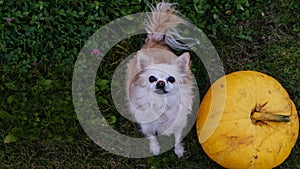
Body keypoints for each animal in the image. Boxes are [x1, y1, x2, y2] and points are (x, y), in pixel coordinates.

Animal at [125, 1, 193, 158]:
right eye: (151, 78)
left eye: (172, 79)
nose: (160, 82)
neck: (162, 103)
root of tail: (154, 40)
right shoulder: (147, 124)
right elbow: (152, 136)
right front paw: (155, 148)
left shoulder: (179, 123)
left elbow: (177, 137)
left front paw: (178, 150)